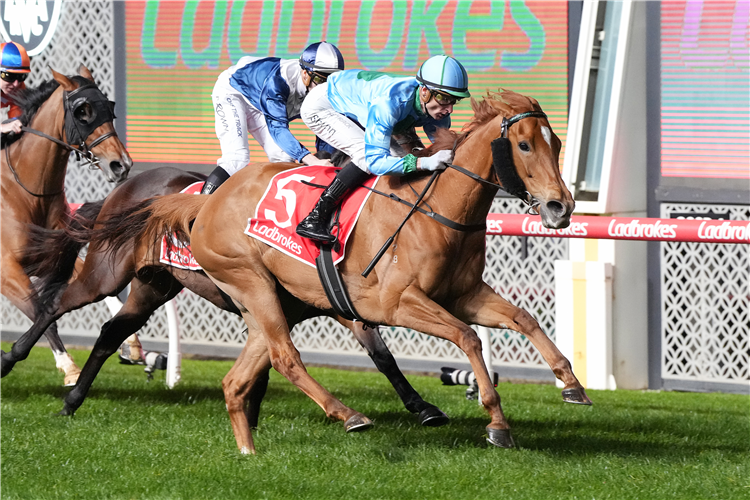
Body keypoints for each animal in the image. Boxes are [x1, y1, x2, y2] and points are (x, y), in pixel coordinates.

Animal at [0, 66, 132, 386]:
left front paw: (131, 345)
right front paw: (69, 367)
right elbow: (41, 312)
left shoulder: (52, 257)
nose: (121, 165)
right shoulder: (6, 270)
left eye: (109, 107)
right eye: (82, 111)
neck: (26, 192)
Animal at [7, 169, 446, 434]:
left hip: (154, 286)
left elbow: (382, 356)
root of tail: (127, 187)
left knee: (110, 332)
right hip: (105, 273)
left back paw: (72, 401)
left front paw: (425, 407)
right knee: (55, 306)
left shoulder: (335, 305)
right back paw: (12, 359)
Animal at [73, 90, 592, 454]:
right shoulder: (395, 303)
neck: (438, 209)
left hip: (264, 301)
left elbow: (523, 318)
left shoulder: (462, 293)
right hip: (248, 283)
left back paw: (248, 449)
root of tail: (204, 202)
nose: (560, 207)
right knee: (285, 358)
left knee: (241, 376)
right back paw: (347, 415)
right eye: (523, 145)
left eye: (556, 144)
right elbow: (465, 337)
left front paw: (571, 384)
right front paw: (495, 421)